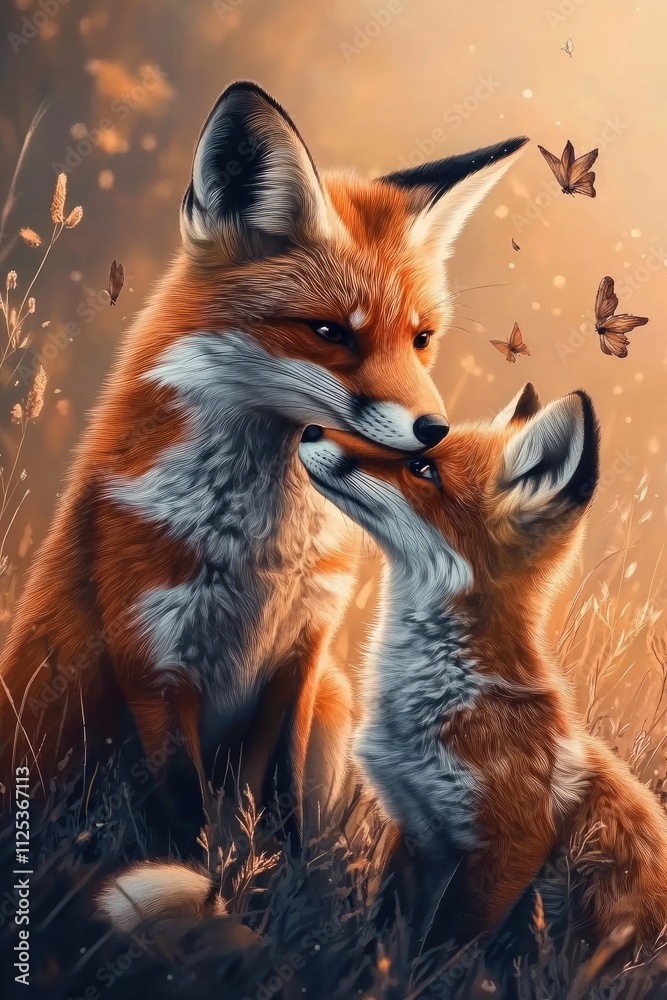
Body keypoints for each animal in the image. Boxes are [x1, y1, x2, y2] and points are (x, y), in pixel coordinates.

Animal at [0, 81, 527, 844]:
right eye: (330, 332)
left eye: (421, 338)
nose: (433, 431)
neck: (264, 555)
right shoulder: (154, 659)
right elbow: (187, 816)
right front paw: (199, 871)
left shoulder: (301, 657)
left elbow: (279, 807)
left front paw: (274, 865)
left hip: (335, 698)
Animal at [297, 385, 667, 956]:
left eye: (422, 468)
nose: (311, 429)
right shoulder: (417, 829)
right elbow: (389, 929)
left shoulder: (511, 845)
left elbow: (447, 947)